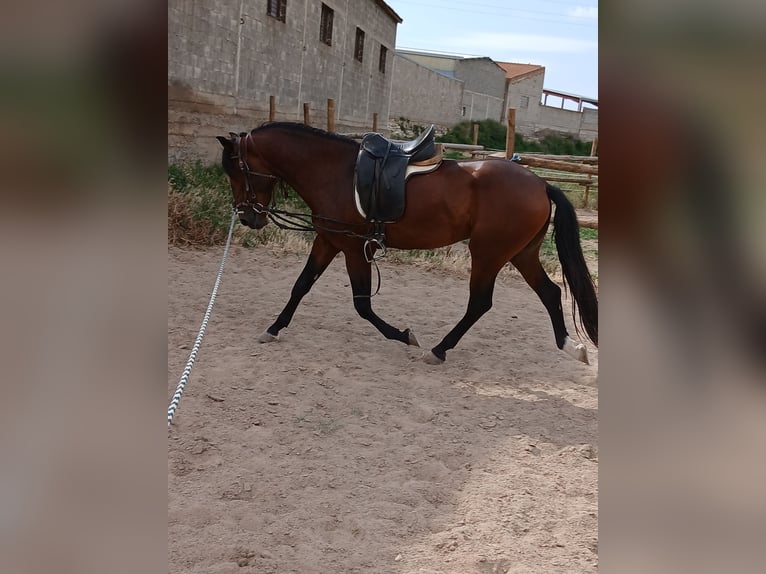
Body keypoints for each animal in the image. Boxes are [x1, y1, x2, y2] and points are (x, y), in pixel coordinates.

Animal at [216, 122, 600, 364]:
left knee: (480, 303)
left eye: (236, 170)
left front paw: (403, 335)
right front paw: (274, 328)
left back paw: (439, 350)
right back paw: (570, 346)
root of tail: (540, 183)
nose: (247, 218)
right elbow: (300, 286)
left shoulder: (354, 249)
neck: (335, 172)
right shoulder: (328, 241)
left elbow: (362, 306)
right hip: (521, 253)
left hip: (488, 253)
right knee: (550, 293)